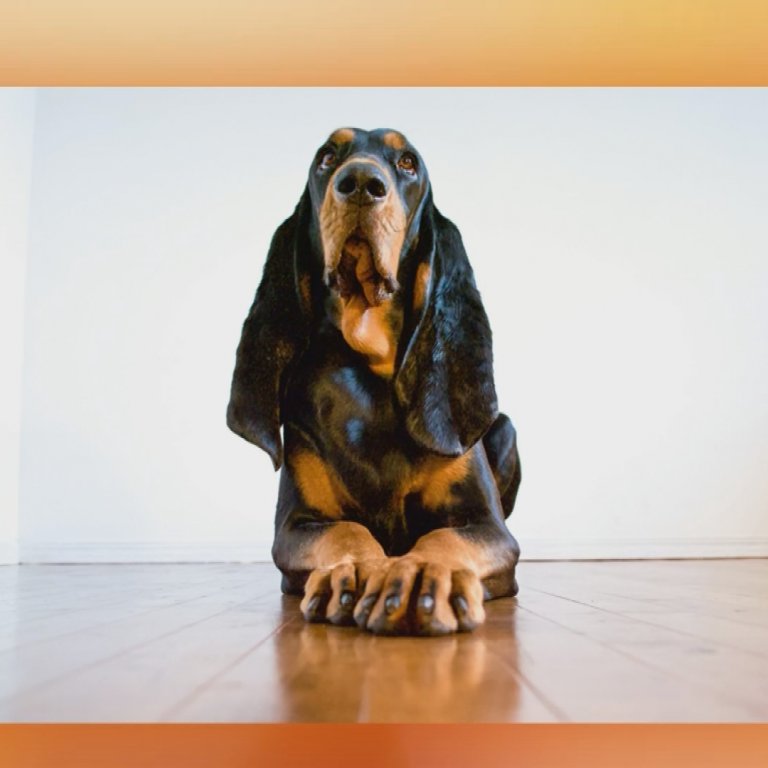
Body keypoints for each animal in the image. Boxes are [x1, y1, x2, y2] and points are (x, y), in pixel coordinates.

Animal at [225, 127, 520, 636]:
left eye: (407, 163)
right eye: (326, 157)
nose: (362, 183)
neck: (372, 370)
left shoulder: (489, 527)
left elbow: (444, 539)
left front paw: (421, 576)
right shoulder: (296, 526)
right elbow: (346, 530)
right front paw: (361, 569)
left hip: (505, 429)